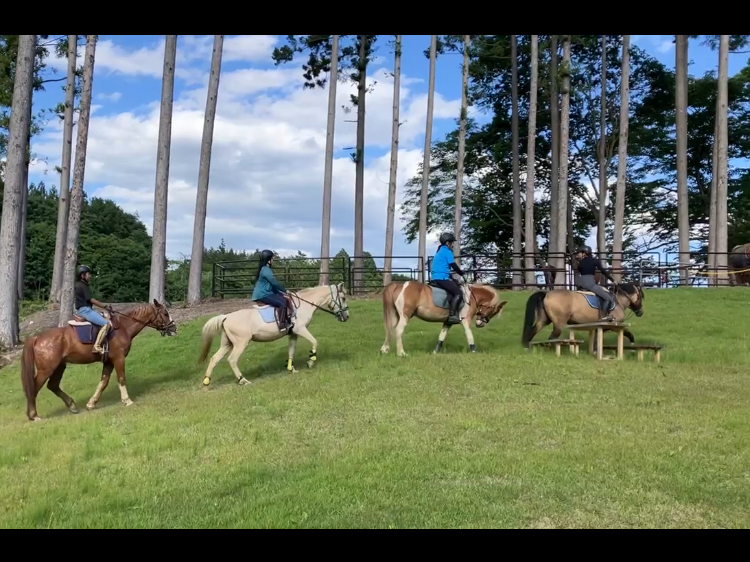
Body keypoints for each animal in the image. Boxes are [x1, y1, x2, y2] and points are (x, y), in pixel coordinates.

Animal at [20, 300, 177, 422]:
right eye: (165, 313)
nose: (174, 328)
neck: (123, 327)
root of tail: (37, 338)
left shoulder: (108, 362)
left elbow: (103, 382)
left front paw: (91, 404)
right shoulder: (118, 358)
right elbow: (121, 378)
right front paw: (127, 400)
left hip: (59, 366)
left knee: (52, 386)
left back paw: (72, 406)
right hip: (46, 369)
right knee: (34, 388)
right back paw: (34, 415)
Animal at [197, 283, 349, 386]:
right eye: (343, 298)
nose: (346, 317)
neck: (303, 305)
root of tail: (226, 317)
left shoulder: (293, 334)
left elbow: (291, 351)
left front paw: (291, 369)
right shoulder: (300, 329)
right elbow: (315, 341)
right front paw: (311, 361)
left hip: (227, 344)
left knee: (214, 359)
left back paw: (206, 382)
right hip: (241, 343)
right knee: (232, 360)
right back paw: (243, 380)